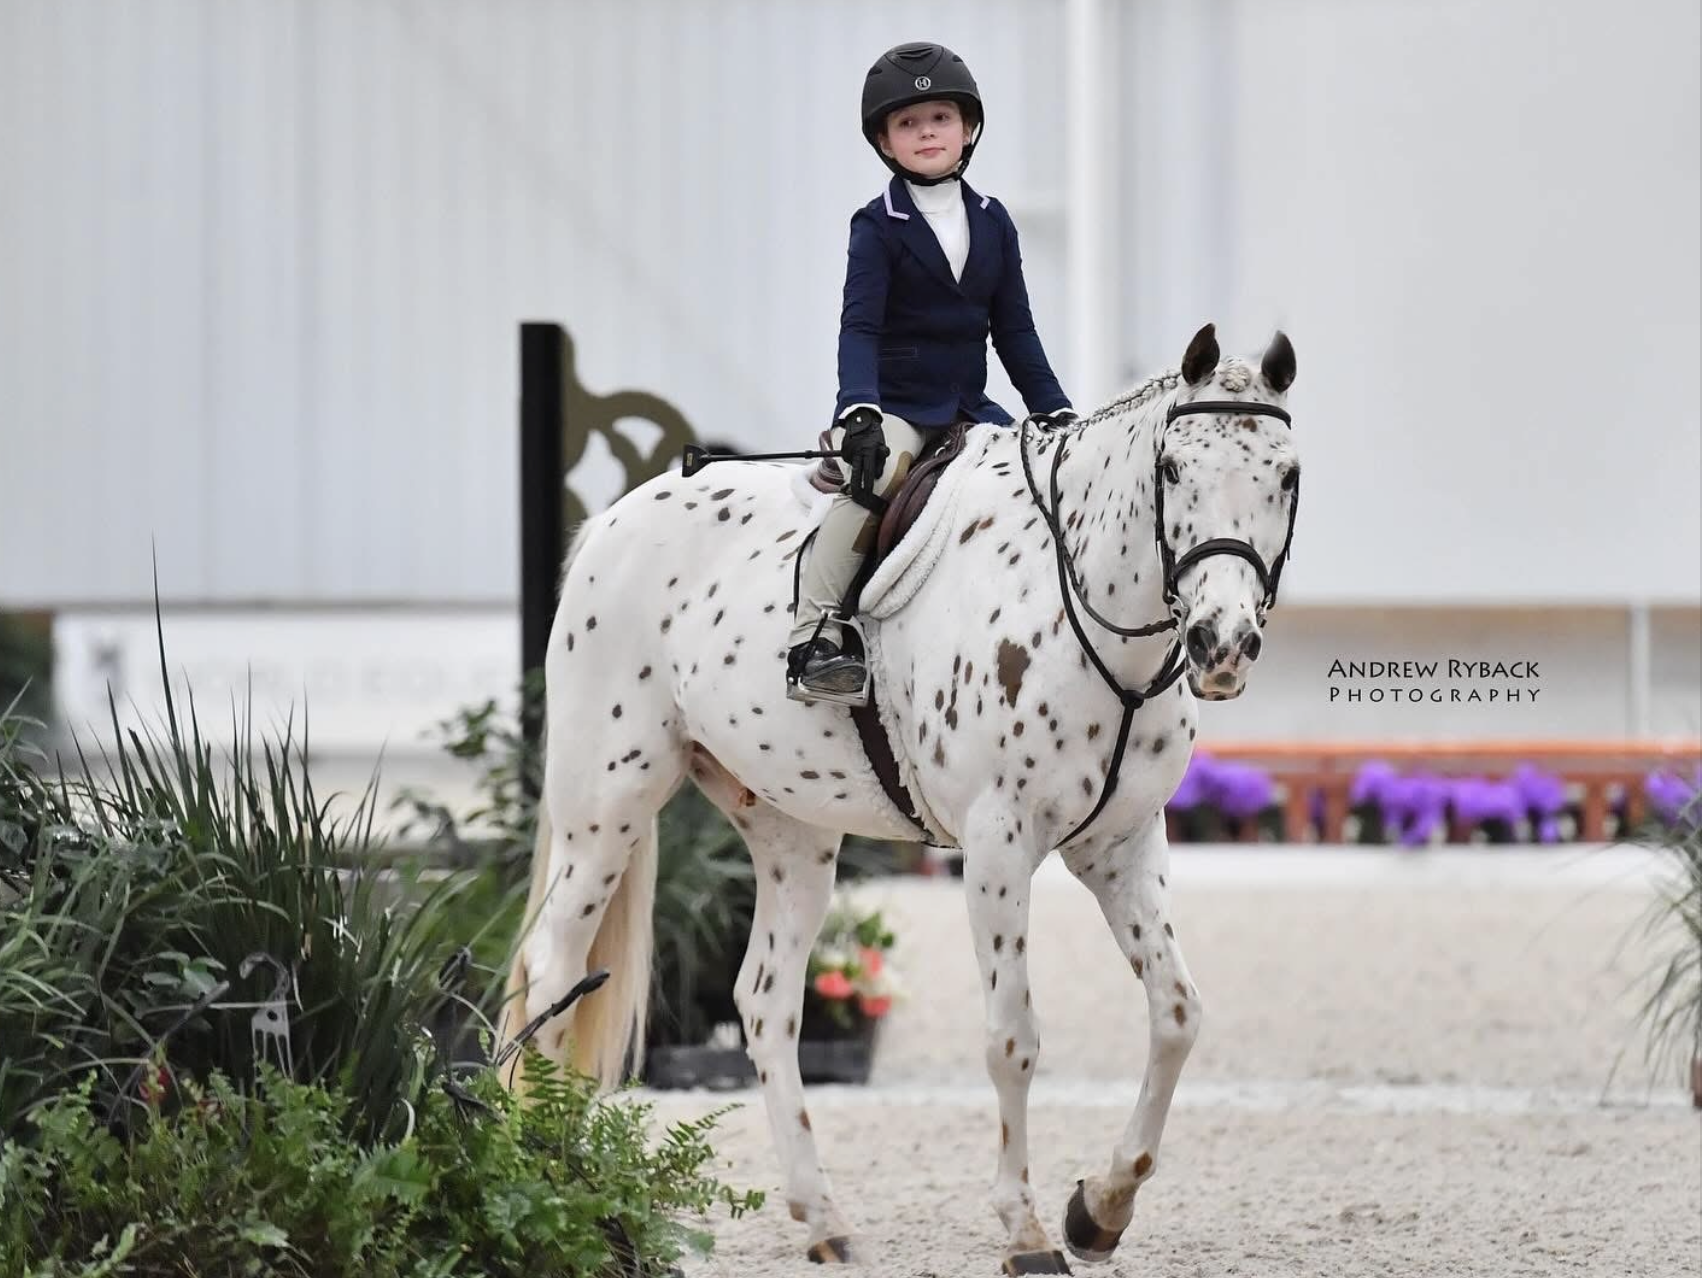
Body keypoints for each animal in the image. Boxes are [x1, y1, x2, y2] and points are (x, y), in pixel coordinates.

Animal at [498, 322, 1301, 1273]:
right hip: (608, 803)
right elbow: (1012, 1038)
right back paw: (551, 1183)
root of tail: (614, 519)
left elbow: (1177, 1014)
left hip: (791, 831)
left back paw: (822, 1217)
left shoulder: (1124, 846)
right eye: (1173, 470)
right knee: (553, 970)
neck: (1096, 625)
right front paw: (1027, 1230)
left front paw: (1099, 1209)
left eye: (1287, 476)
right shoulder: (998, 847)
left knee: (764, 1001)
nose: (1223, 644)